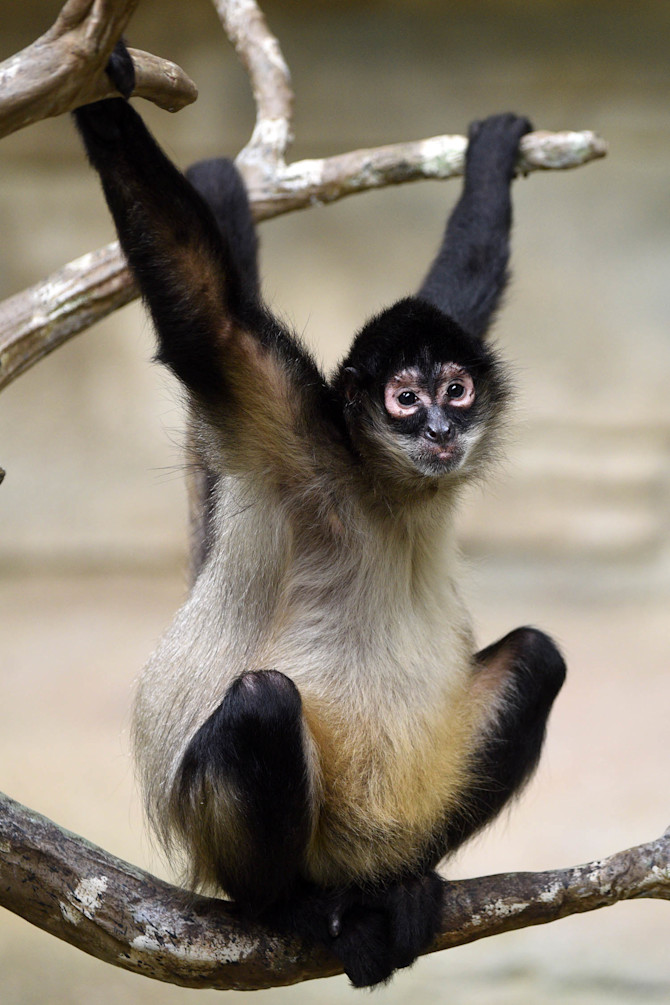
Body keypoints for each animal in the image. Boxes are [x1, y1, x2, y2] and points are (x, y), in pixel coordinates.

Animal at [73, 43, 566, 988]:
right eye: (405, 399)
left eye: (456, 388)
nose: (442, 427)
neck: (383, 486)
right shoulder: (293, 428)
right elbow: (209, 320)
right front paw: (101, 84)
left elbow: (461, 288)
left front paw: (489, 159)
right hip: (225, 822)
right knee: (263, 702)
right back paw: (292, 907)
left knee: (540, 655)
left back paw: (398, 882)